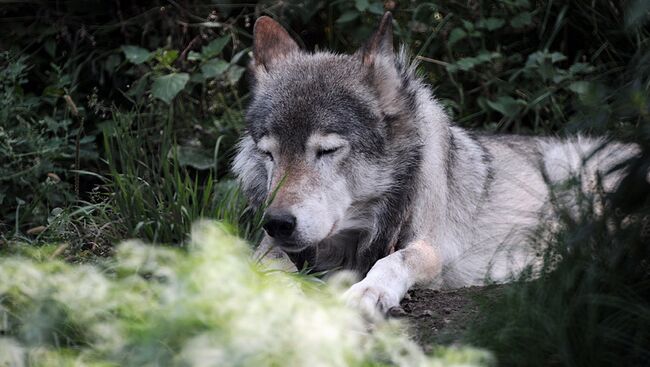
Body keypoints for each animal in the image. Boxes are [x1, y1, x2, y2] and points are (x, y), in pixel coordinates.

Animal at [233, 12, 636, 316]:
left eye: (328, 151)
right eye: (269, 153)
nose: (277, 222)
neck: (356, 234)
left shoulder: (430, 246)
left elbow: (393, 261)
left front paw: (369, 292)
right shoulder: (273, 246)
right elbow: (264, 264)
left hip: (569, 167)